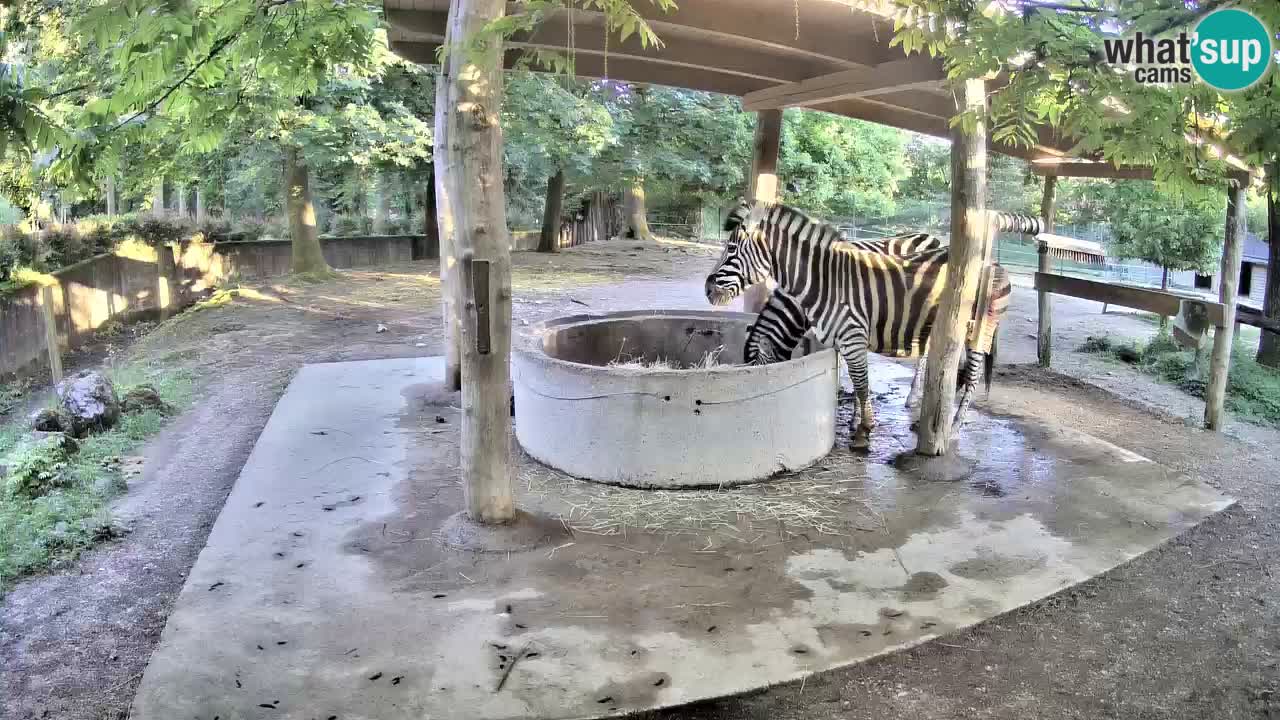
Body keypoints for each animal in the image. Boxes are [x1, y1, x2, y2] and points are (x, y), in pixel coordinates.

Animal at [707, 200, 1010, 449]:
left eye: (731, 249)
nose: (708, 288)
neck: (821, 283)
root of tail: (992, 262)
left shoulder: (852, 334)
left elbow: (861, 381)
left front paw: (863, 431)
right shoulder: (843, 337)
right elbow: (854, 379)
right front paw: (857, 422)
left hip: (980, 332)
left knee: (971, 377)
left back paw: (954, 427)